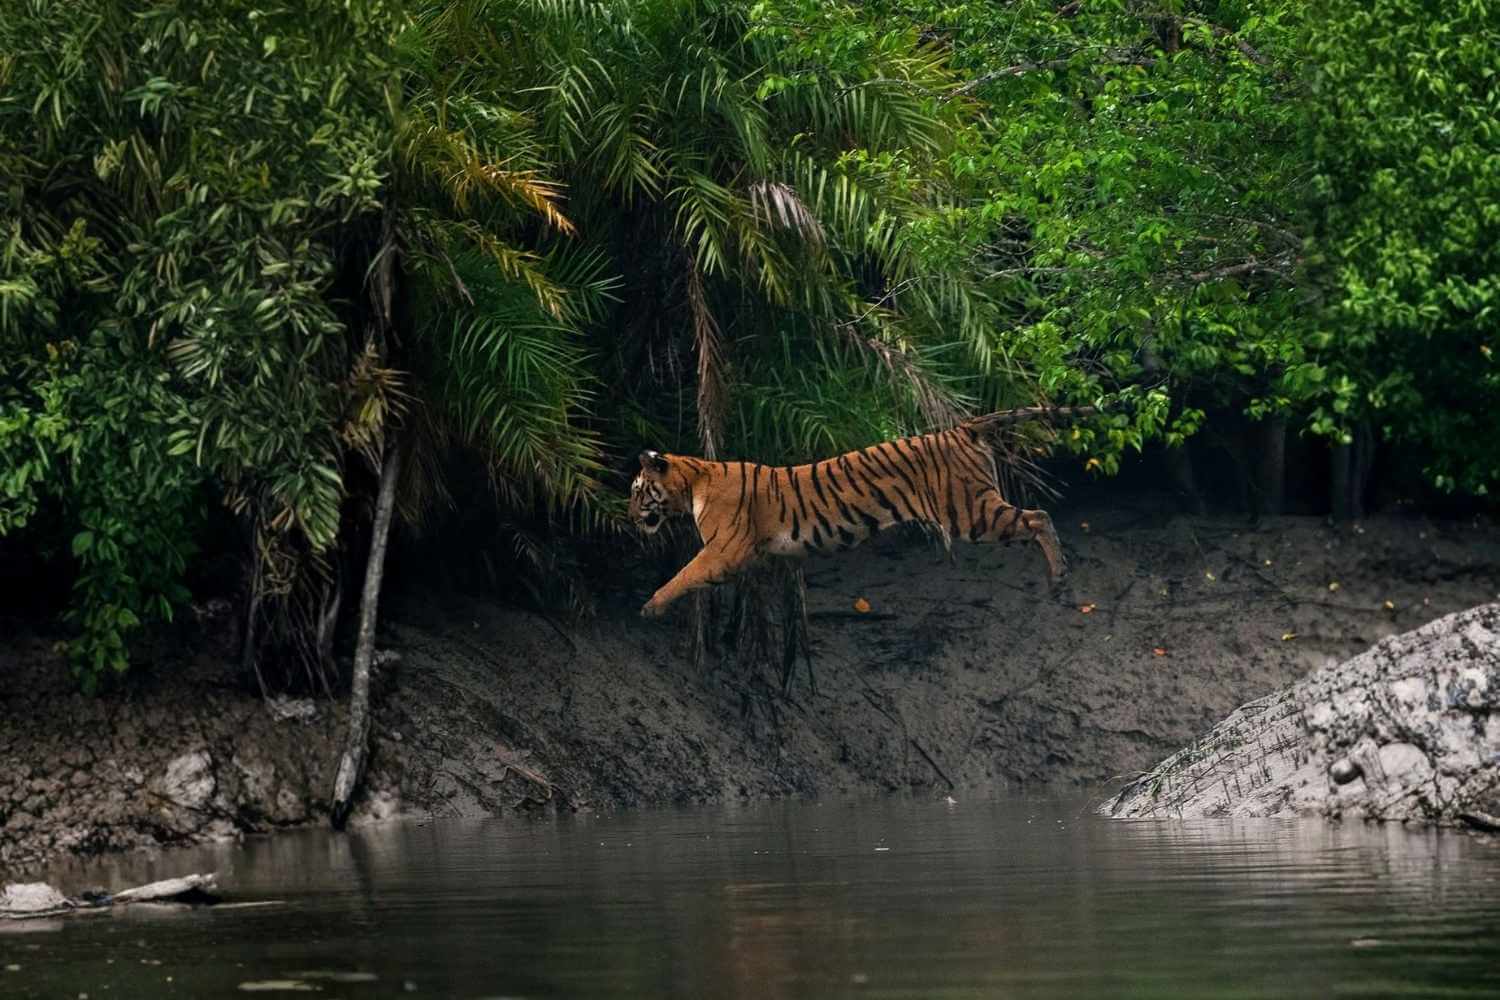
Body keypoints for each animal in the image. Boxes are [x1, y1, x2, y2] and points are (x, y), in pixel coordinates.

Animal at [628, 406, 1092, 618]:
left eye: (636, 491)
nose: (629, 517)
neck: (693, 480)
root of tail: (961, 429)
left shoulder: (724, 549)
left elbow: (685, 573)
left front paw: (651, 605)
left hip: (969, 511)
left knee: (1039, 517)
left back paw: (1059, 581)